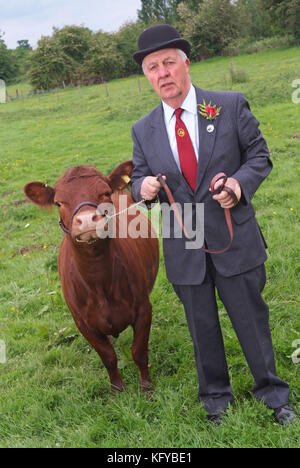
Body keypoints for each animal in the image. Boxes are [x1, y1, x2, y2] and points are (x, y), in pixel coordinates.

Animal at [24, 161, 159, 392]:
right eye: (58, 202)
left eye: (105, 193)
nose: (87, 219)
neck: (99, 282)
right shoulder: (83, 323)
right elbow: (108, 357)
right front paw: (117, 390)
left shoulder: (143, 309)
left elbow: (139, 352)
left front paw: (147, 388)